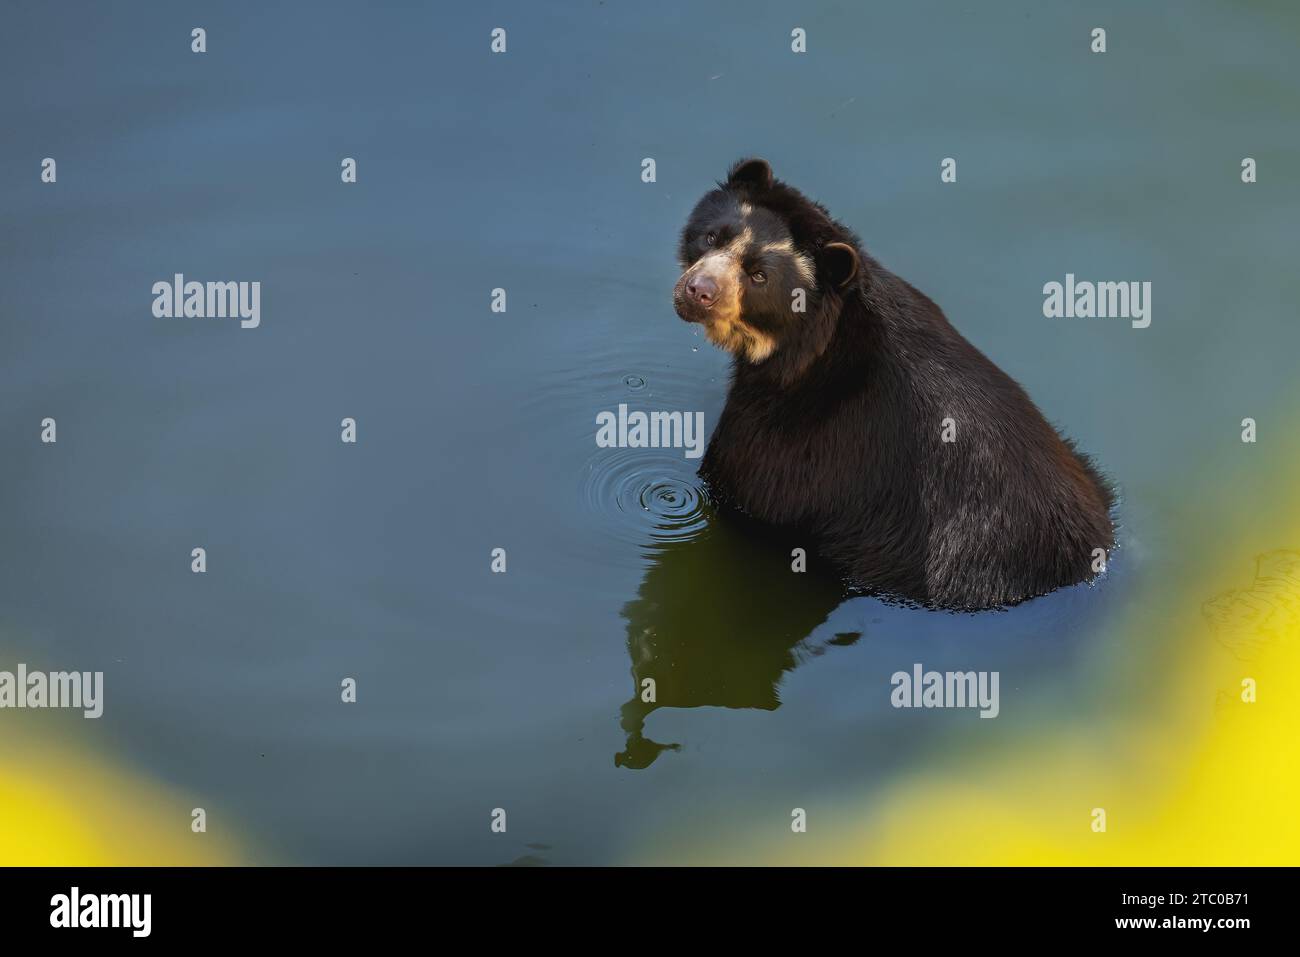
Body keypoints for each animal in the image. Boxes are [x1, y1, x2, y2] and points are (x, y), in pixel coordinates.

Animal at [672, 158, 1115, 610]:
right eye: (712, 236)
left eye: (759, 276)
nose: (698, 291)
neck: (810, 347)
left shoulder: (796, 437)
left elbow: (742, 484)